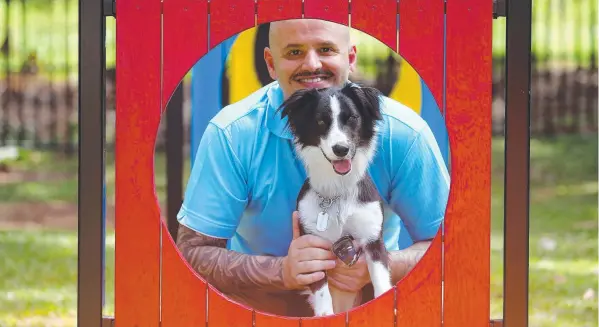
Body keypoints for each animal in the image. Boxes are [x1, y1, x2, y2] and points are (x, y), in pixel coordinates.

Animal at [280, 83, 394, 316]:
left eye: (352, 118)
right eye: (321, 121)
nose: (341, 149)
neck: (337, 192)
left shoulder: (373, 239)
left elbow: (380, 282)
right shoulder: (312, 248)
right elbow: (322, 292)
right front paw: (325, 315)